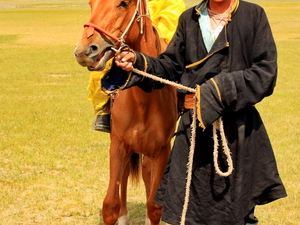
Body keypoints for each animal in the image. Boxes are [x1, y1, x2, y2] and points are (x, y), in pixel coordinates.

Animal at [74, 0, 177, 224]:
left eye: (123, 3)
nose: (84, 50)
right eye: (91, 3)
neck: (144, 100)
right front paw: (119, 214)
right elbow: (110, 205)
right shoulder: (118, 144)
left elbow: (154, 206)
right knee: (125, 176)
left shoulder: (162, 150)